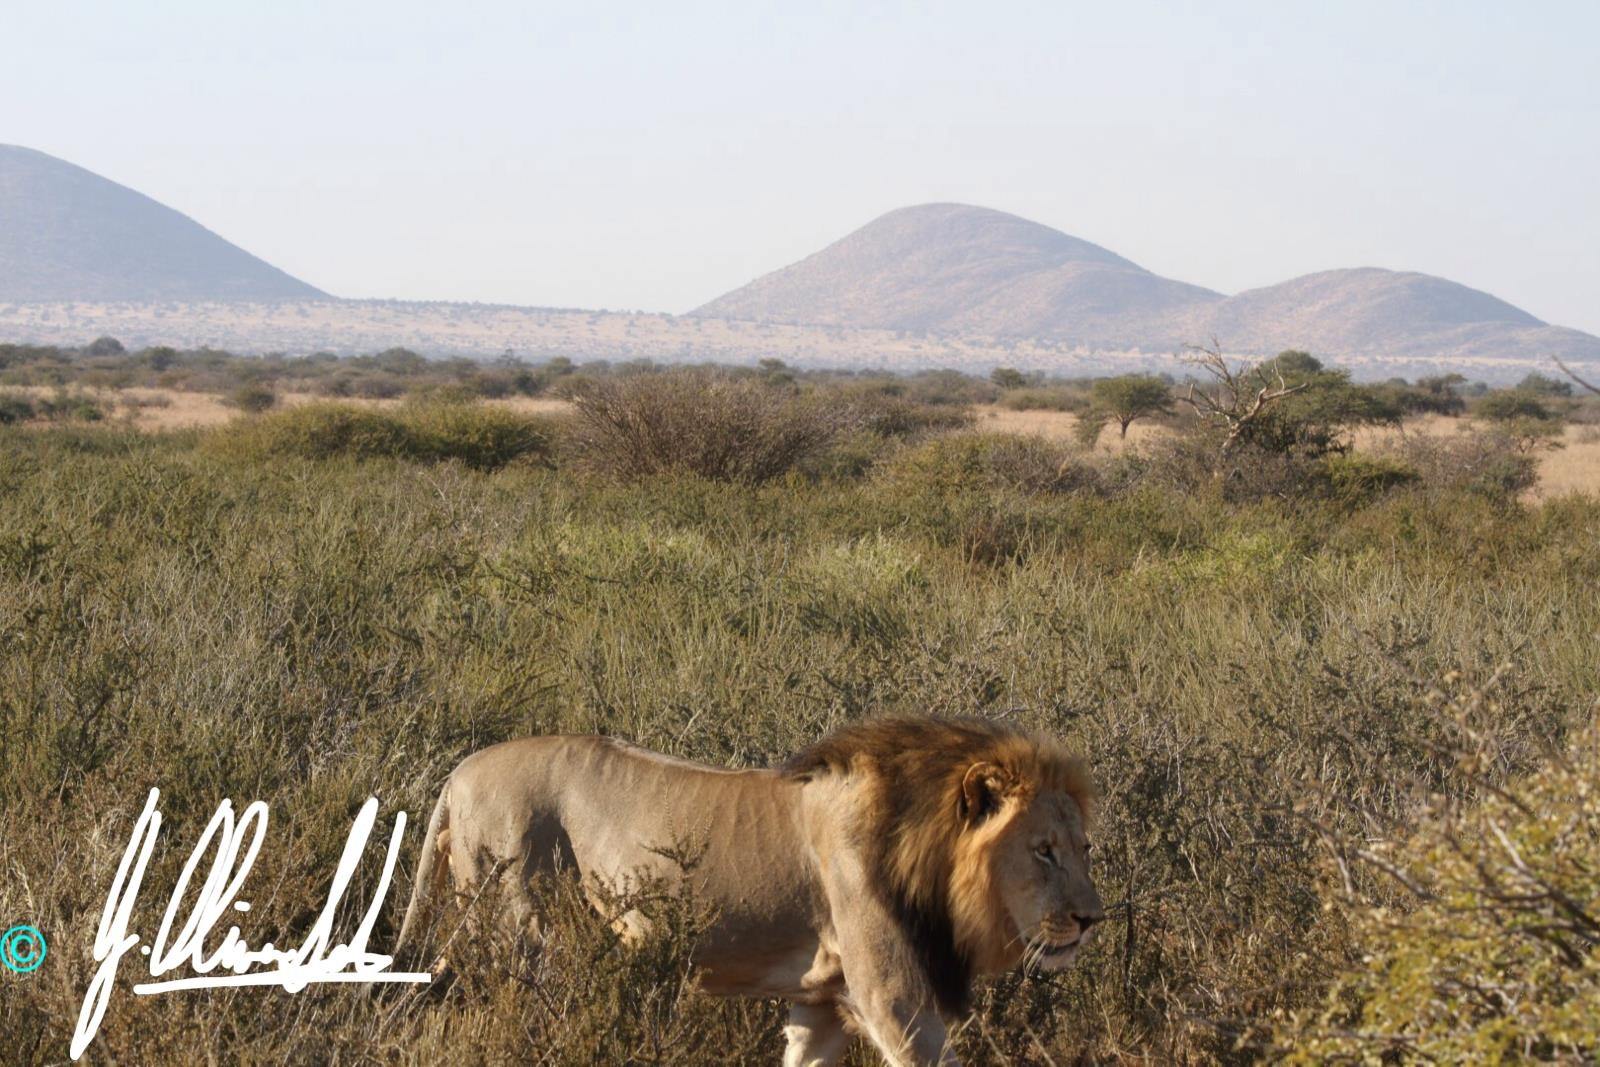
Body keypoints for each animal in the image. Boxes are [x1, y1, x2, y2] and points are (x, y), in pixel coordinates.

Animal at [396, 716, 1100, 1067]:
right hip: (524, 927)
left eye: (1085, 848)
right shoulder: (893, 995)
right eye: (1043, 850)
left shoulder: (822, 1004)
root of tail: (459, 771)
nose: (1091, 919)